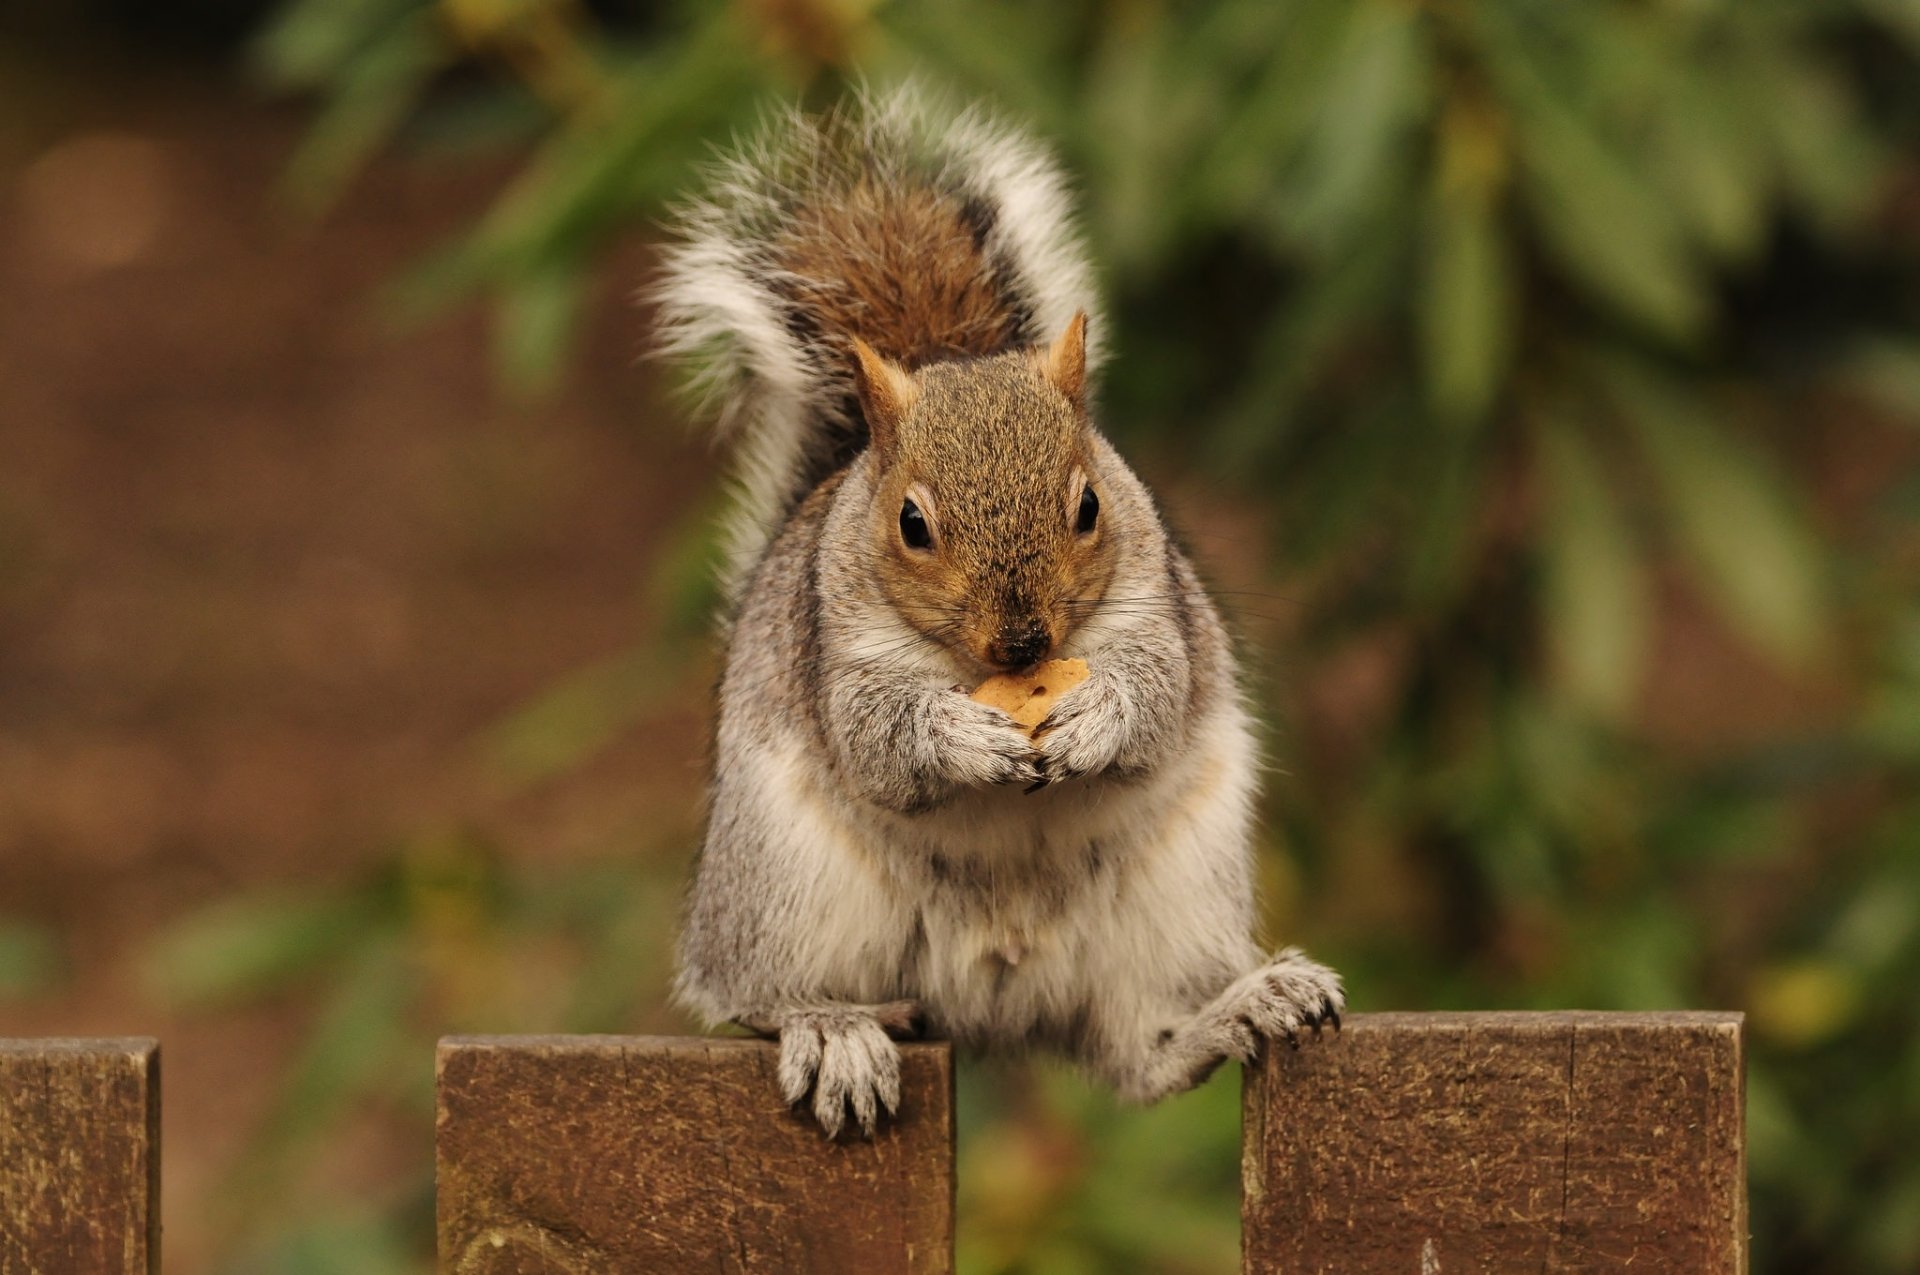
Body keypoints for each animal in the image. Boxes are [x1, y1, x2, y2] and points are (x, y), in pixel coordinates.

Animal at [653, 87, 1343, 1138]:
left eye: (1090, 505)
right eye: (911, 524)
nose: (1024, 641)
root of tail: (997, 1002)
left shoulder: (1158, 611)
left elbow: (1157, 692)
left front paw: (1097, 715)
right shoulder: (836, 654)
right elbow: (879, 739)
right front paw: (961, 736)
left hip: (1175, 902)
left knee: (1141, 1054)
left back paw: (1246, 1005)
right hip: (785, 890)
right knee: (748, 994)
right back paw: (830, 1026)